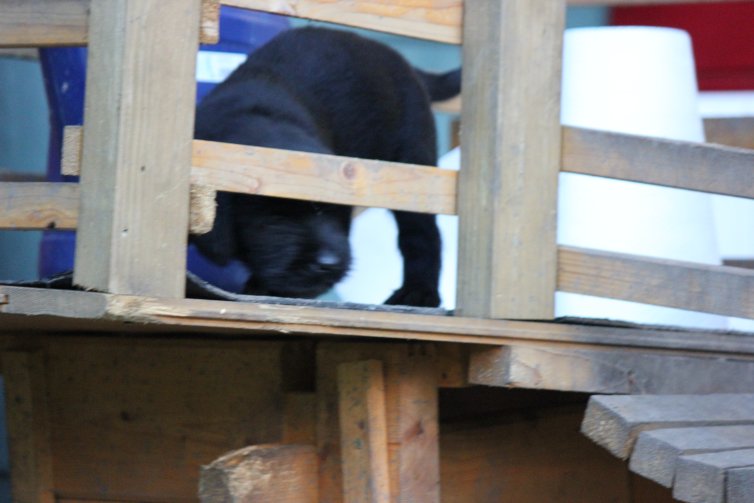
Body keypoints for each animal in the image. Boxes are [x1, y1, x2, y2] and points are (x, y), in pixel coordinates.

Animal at [191, 27, 458, 308]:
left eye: (329, 209)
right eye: (276, 217)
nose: (328, 263)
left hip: (413, 167)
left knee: (421, 234)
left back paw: (420, 292)